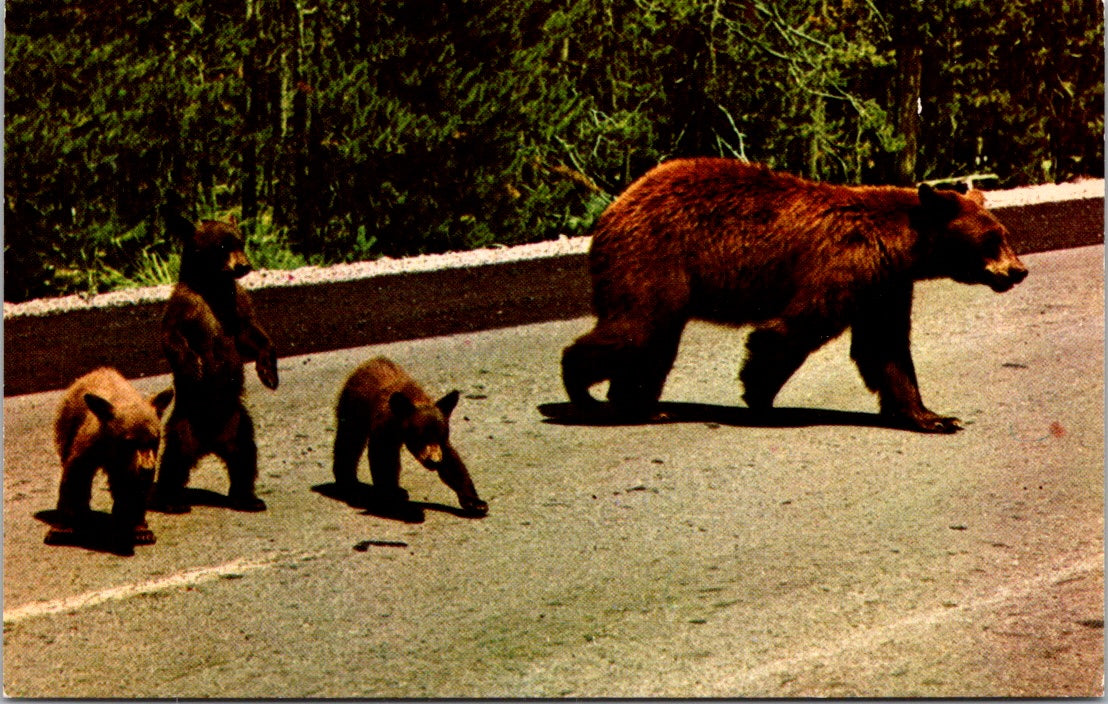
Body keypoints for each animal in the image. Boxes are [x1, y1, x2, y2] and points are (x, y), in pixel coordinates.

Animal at [562, 158, 1028, 432]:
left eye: (1005, 235)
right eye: (992, 240)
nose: (1019, 271)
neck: (899, 246)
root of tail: (614, 207)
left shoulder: (885, 284)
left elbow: (886, 347)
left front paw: (933, 416)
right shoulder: (842, 266)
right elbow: (793, 329)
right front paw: (760, 397)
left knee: (654, 342)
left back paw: (641, 405)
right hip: (655, 257)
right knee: (638, 327)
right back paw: (582, 392)